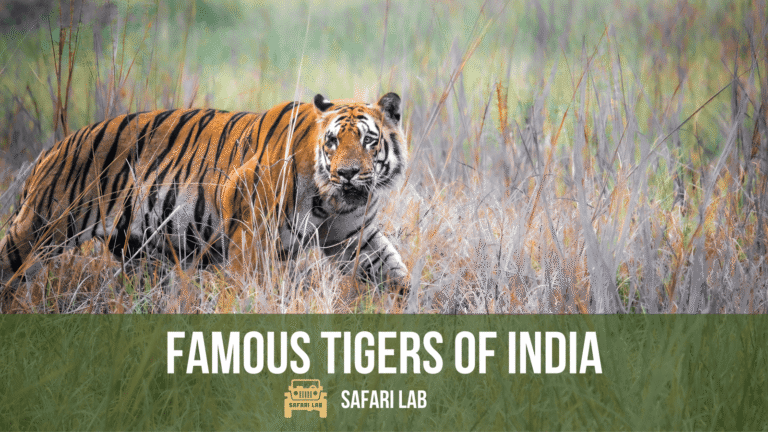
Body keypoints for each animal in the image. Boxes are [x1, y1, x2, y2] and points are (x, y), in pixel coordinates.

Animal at [0, 93, 410, 302]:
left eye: (368, 140)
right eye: (333, 141)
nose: (347, 173)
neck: (332, 202)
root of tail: (51, 150)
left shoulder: (351, 238)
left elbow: (393, 273)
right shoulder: (252, 238)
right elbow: (252, 292)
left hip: (142, 256)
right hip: (39, 231)